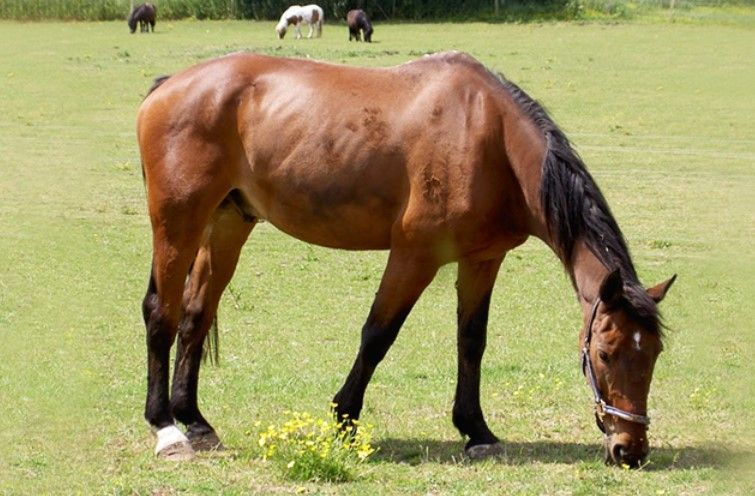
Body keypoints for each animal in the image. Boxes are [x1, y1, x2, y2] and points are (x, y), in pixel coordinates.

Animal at [137, 51, 676, 466]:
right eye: (605, 353)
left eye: (652, 353)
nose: (630, 449)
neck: (490, 137)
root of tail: (167, 87)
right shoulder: (415, 255)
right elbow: (378, 335)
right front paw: (345, 419)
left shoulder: (482, 260)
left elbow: (471, 342)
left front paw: (476, 430)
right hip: (177, 225)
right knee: (161, 314)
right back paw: (167, 430)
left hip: (227, 225)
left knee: (195, 315)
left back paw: (196, 421)